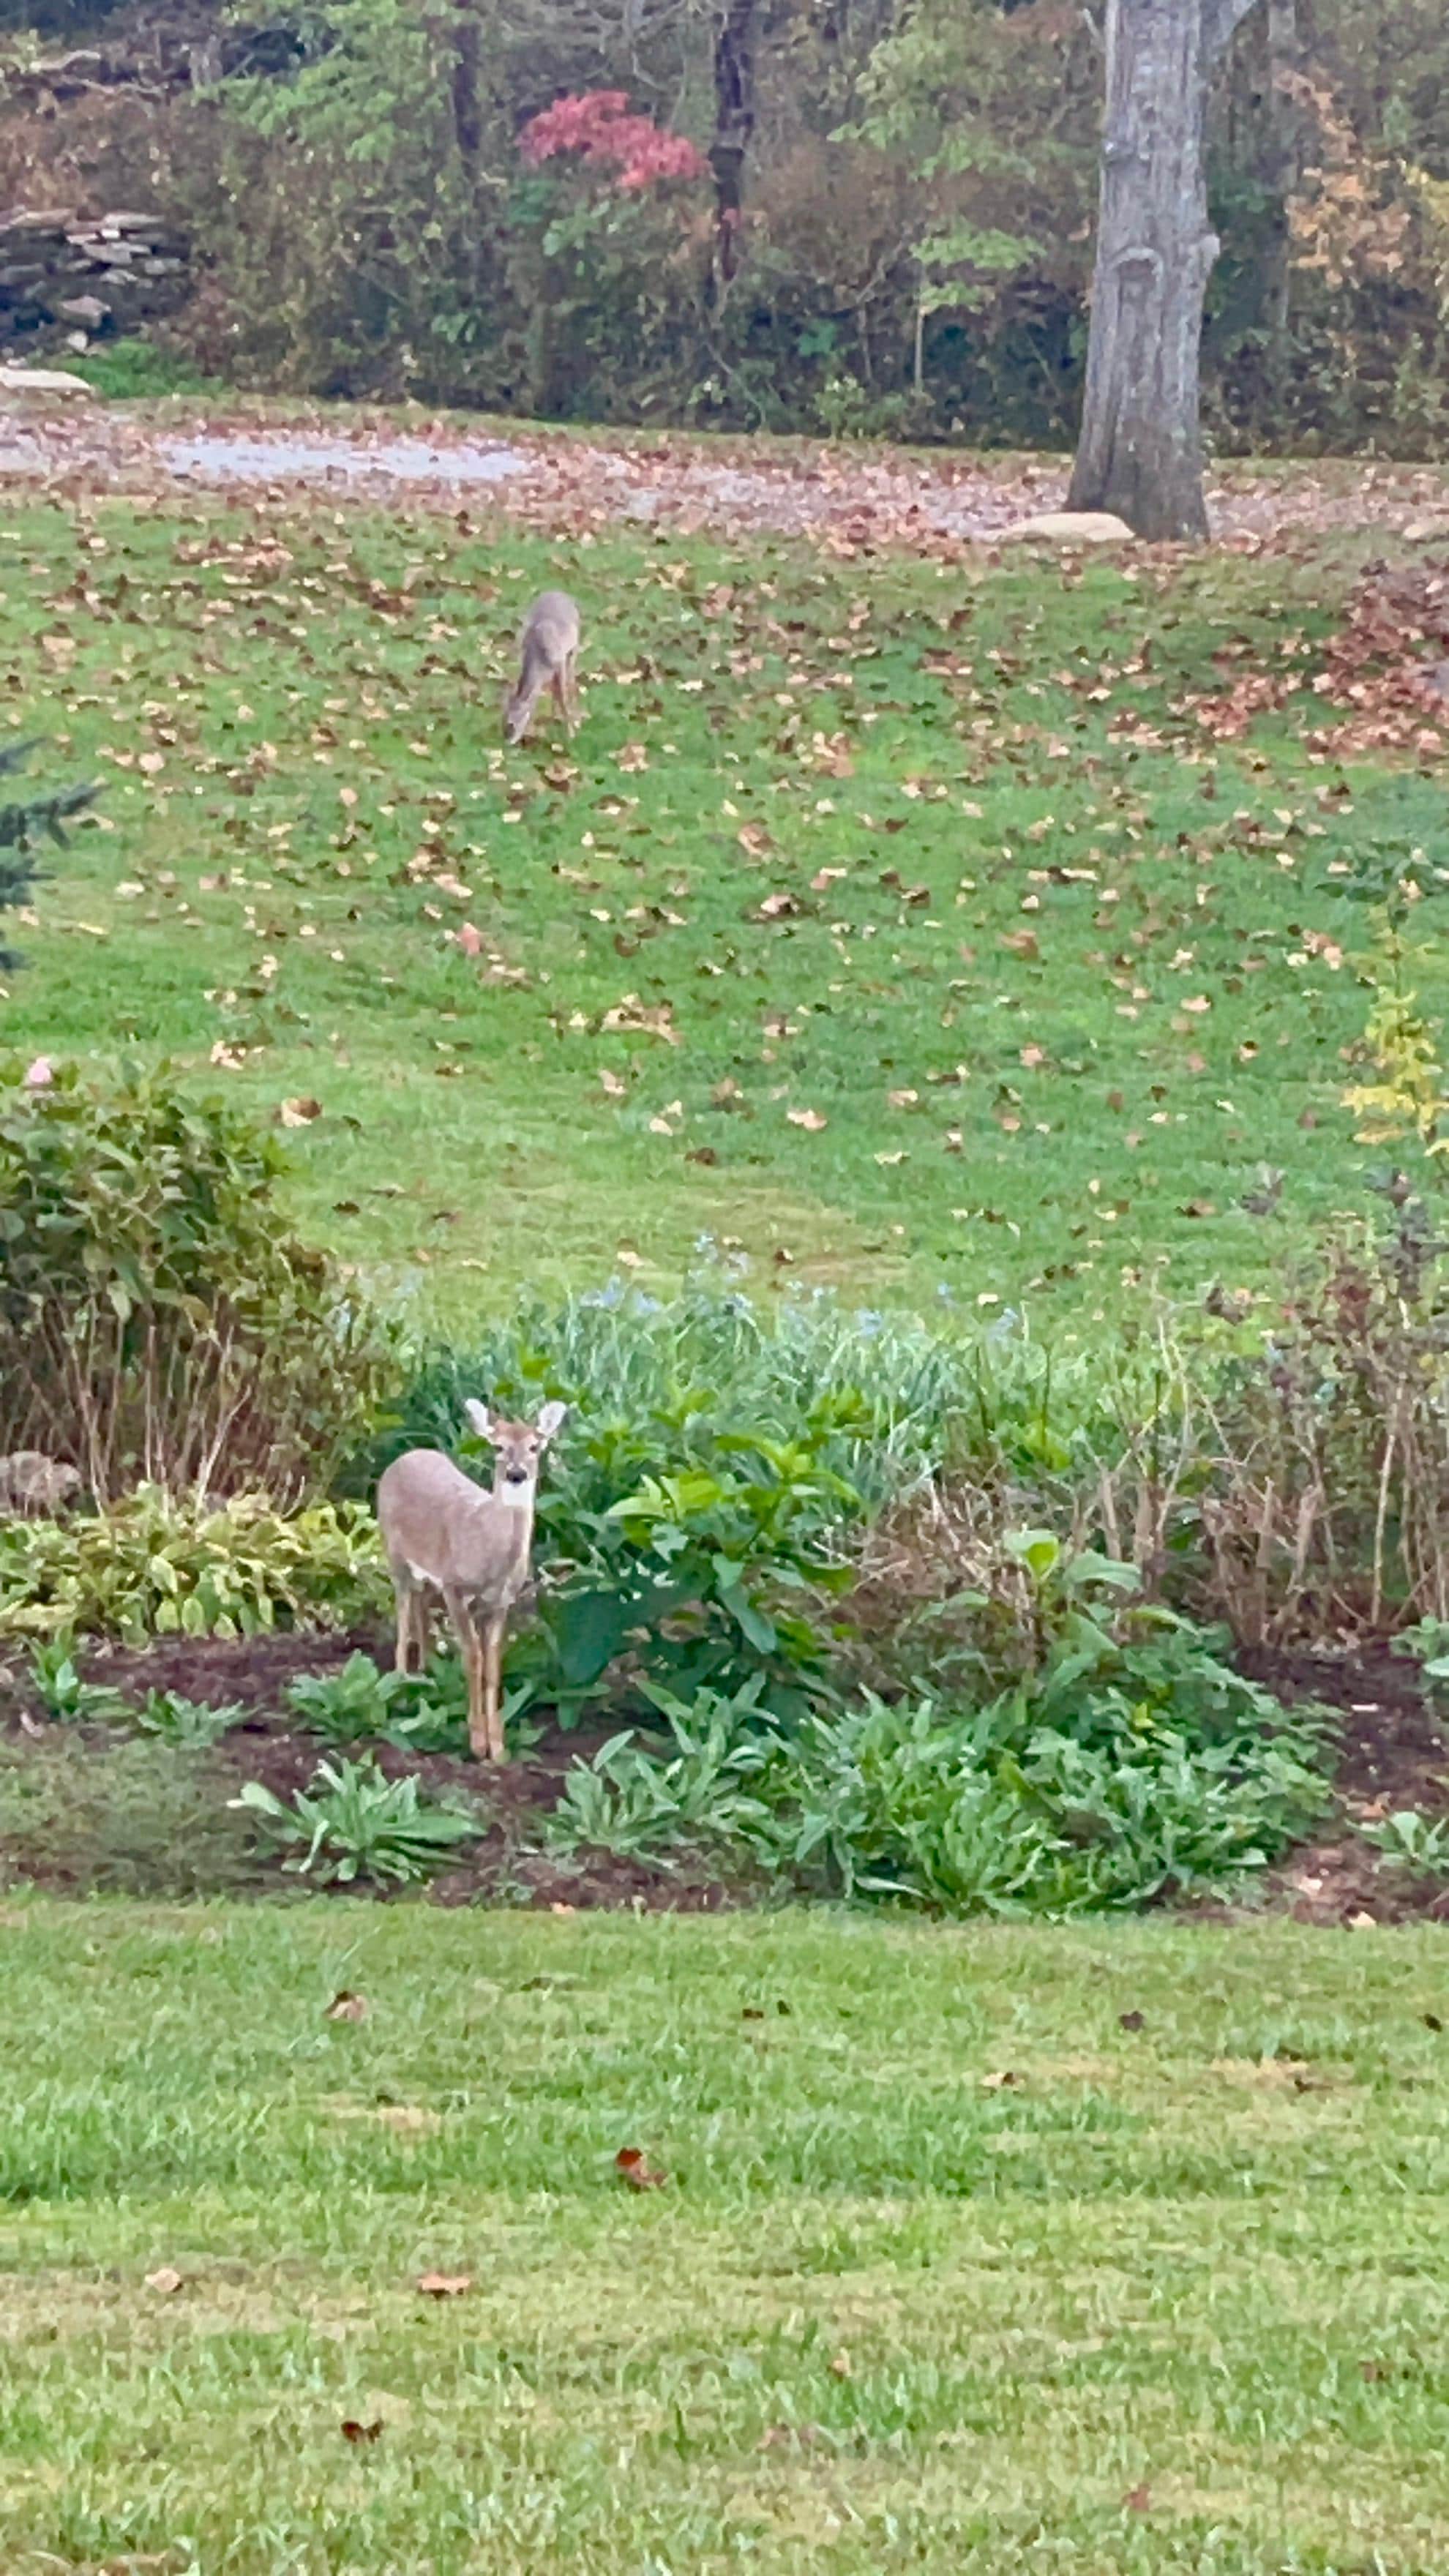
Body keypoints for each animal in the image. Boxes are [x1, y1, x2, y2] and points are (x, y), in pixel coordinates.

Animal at [374, 1399, 566, 1762]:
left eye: (534, 1447)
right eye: (498, 1447)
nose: (516, 1474)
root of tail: (405, 1457)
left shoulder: (501, 1601)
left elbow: (492, 1664)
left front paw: (499, 1747)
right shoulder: (455, 1587)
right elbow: (473, 1658)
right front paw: (477, 1743)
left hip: (427, 1574)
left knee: (420, 1604)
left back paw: (427, 1670)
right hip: (394, 1552)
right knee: (402, 1611)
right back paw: (401, 1682)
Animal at [504, 589, 581, 745]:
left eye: (512, 724)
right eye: (502, 718)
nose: (507, 741)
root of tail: (560, 592)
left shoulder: (559, 661)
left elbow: (561, 695)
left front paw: (571, 733)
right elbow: (550, 692)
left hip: (573, 649)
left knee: (571, 680)